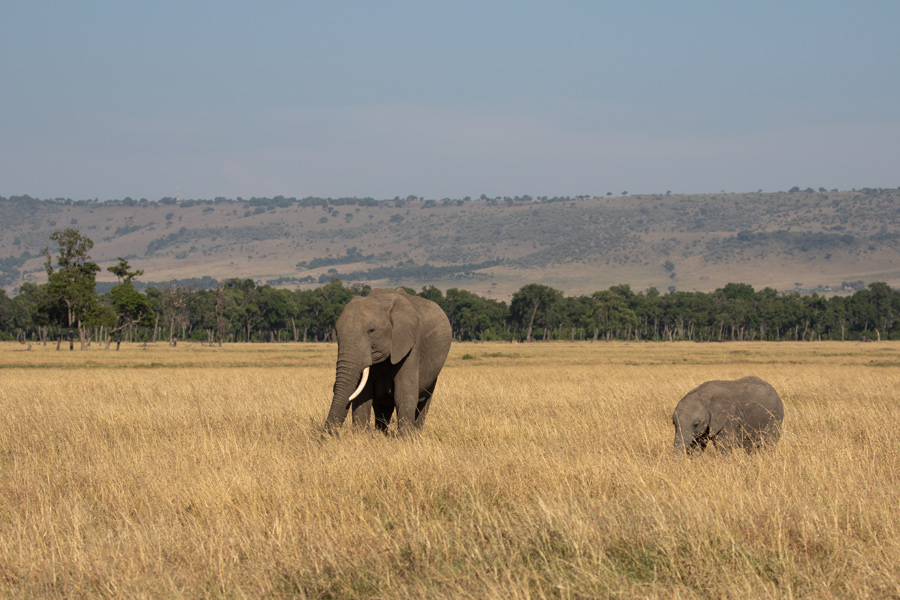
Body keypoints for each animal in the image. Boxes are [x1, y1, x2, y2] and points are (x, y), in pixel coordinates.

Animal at [325, 288, 452, 434]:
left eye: (371, 330)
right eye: (336, 333)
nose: (327, 434)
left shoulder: (410, 346)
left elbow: (403, 393)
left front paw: (406, 437)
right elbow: (363, 396)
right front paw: (360, 435)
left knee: (424, 402)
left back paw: (416, 433)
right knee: (382, 408)